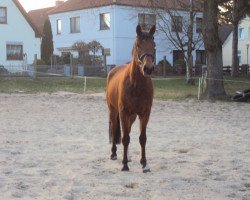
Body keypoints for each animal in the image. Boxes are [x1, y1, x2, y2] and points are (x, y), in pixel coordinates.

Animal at [106, 25, 156, 172]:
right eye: (138, 45)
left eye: (154, 45)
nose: (148, 68)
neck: (136, 85)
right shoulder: (123, 112)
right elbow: (125, 138)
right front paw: (124, 165)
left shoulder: (145, 114)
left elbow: (142, 138)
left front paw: (144, 164)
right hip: (114, 112)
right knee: (117, 130)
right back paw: (114, 154)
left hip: (132, 116)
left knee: (126, 130)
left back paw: (127, 156)